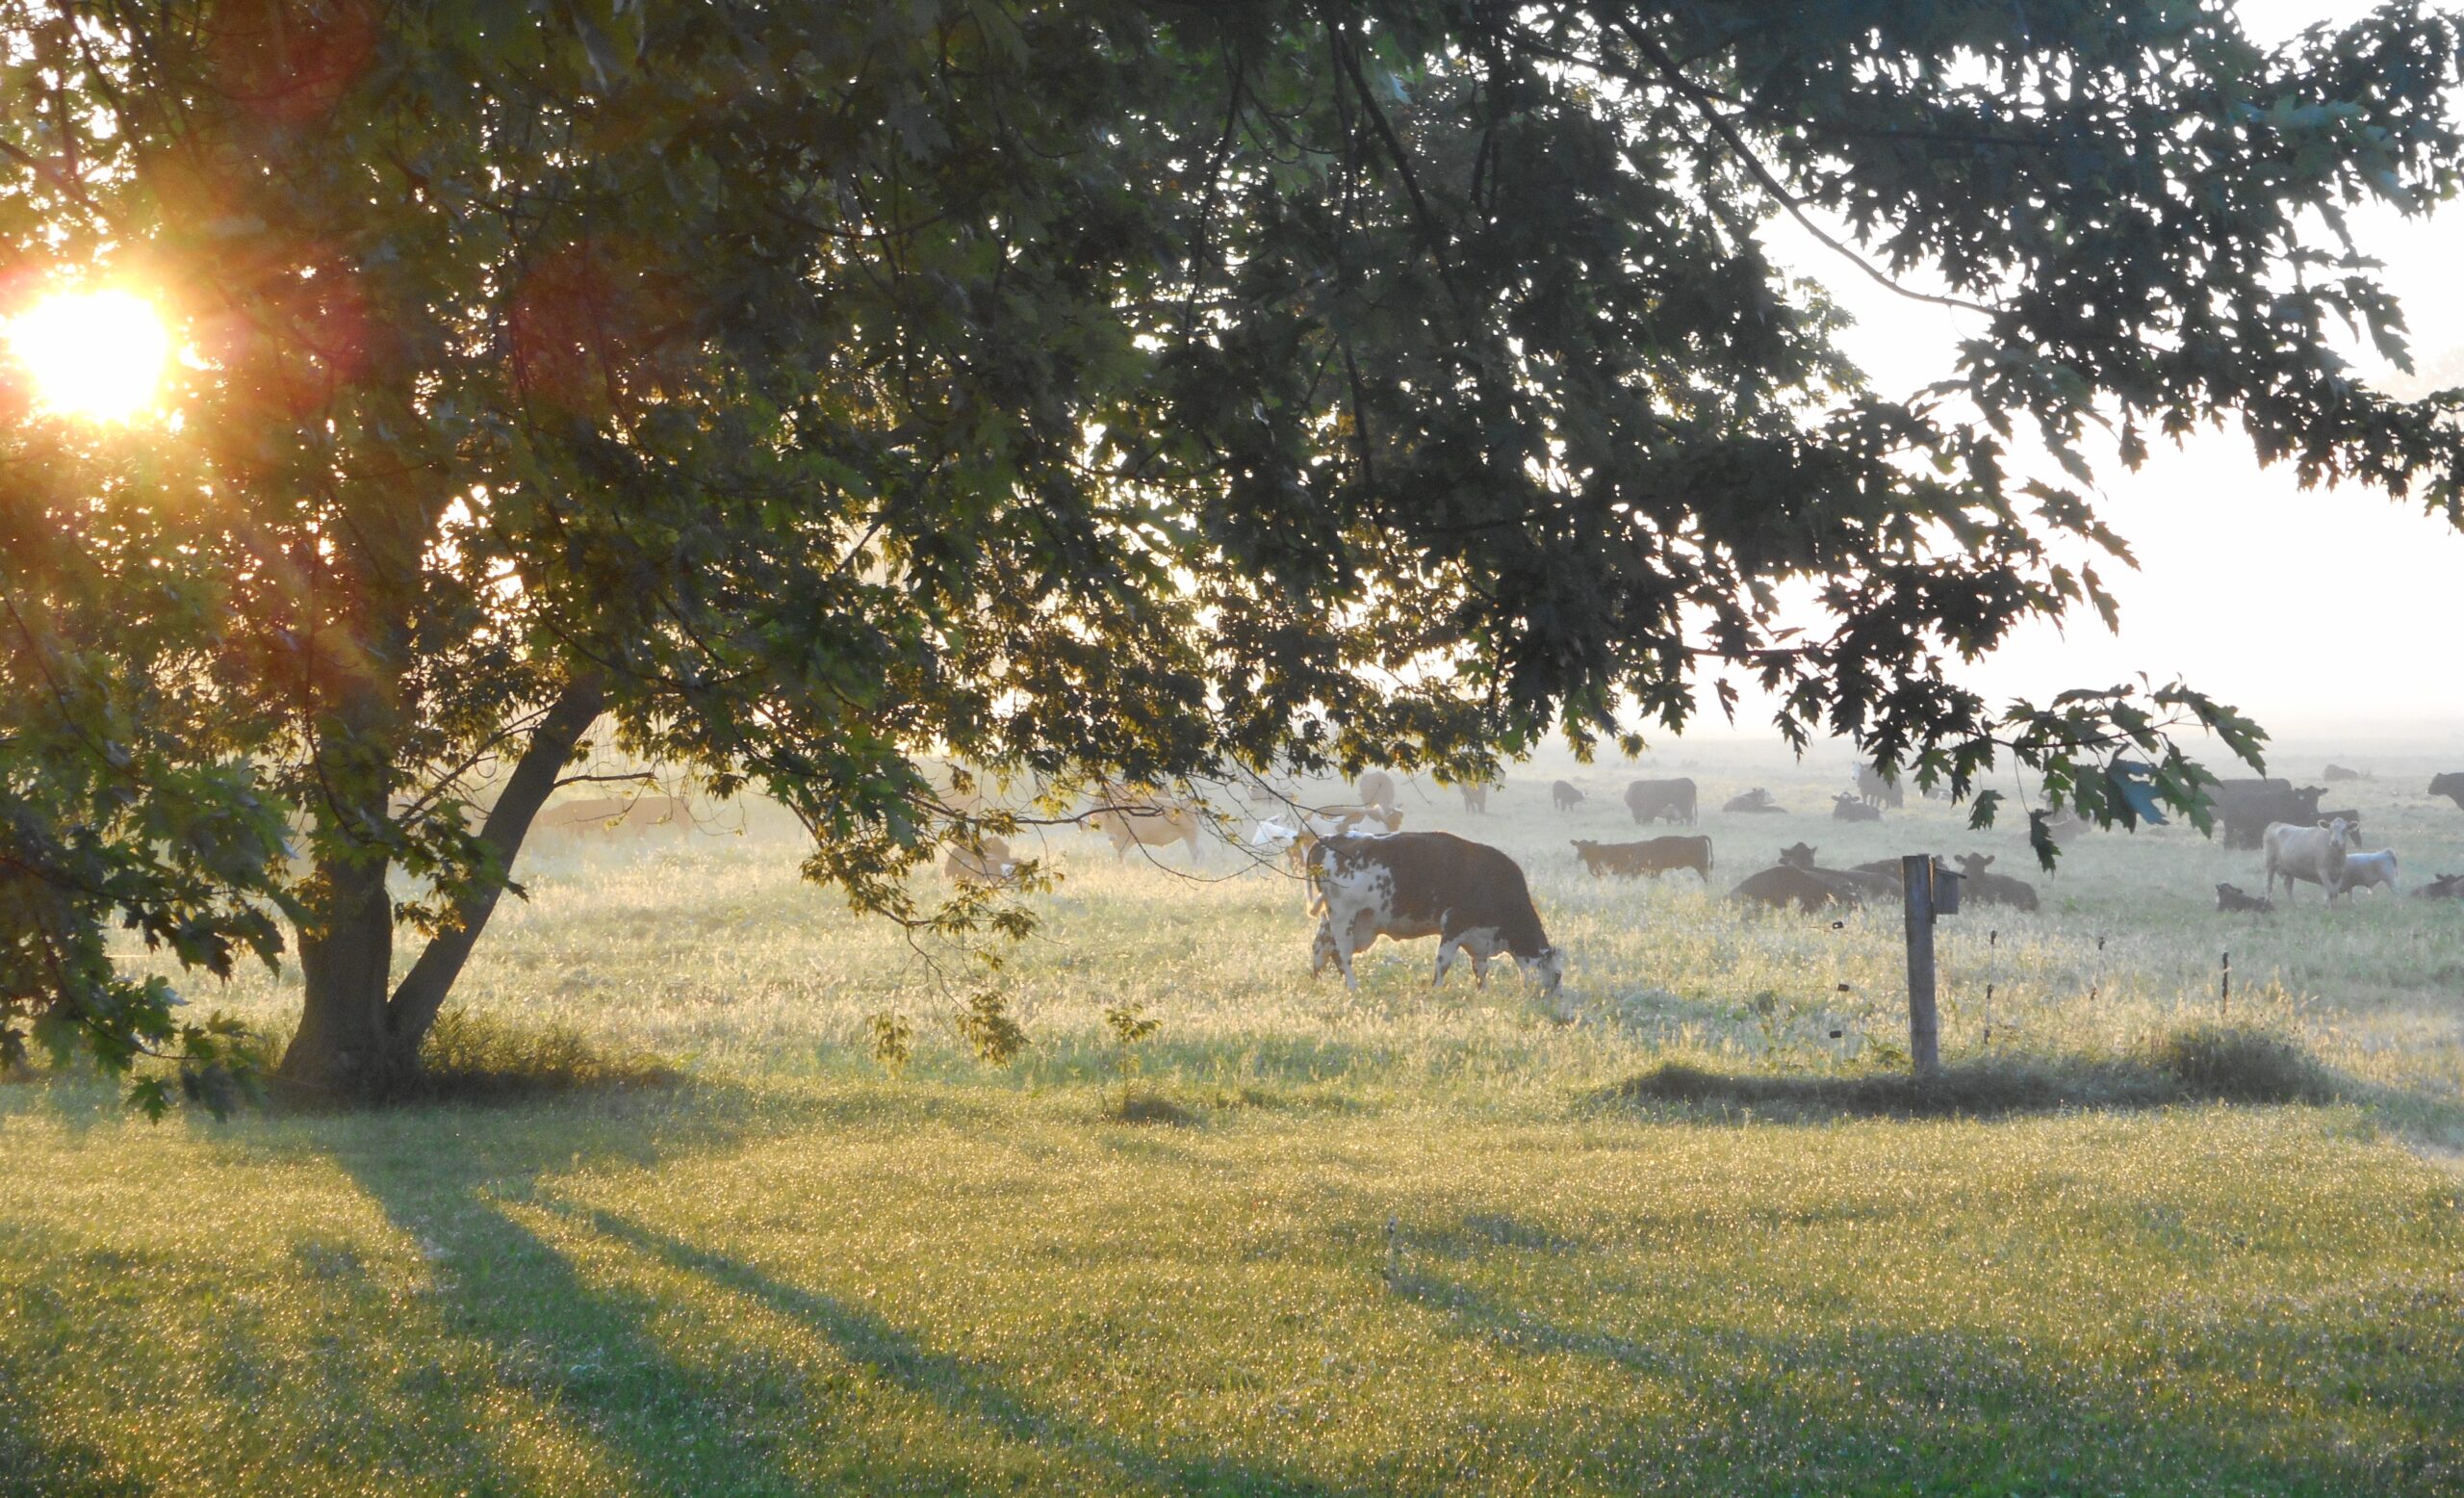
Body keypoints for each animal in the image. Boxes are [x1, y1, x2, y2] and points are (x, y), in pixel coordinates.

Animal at [1310, 833, 1556, 994]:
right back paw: (1353, 987)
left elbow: (1481, 969)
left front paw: (1483, 993)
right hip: (1344, 917)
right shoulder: (1454, 926)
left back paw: (1317, 979)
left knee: (1321, 945)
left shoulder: (1479, 938)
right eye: (1557, 975)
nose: (1554, 999)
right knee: (1341, 953)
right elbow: (1443, 963)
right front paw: (1436, 990)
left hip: (1347, 921)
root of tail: (1328, 840)